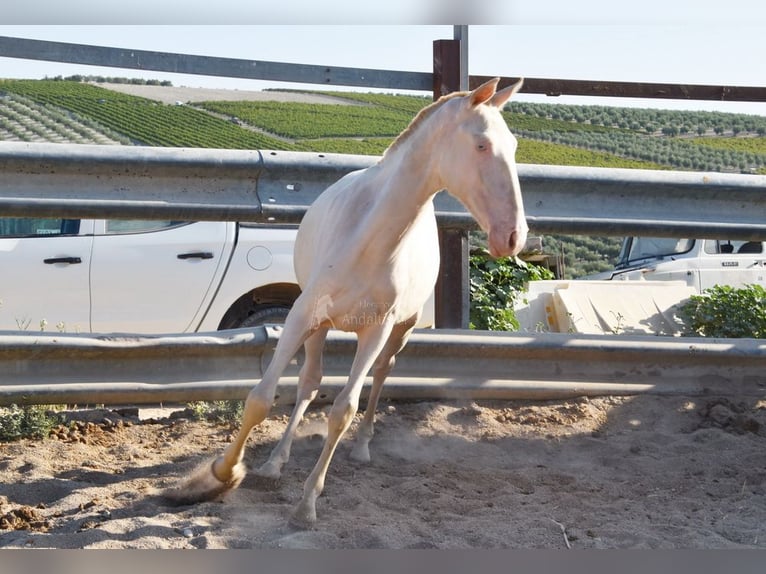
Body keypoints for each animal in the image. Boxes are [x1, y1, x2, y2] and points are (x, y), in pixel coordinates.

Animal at [167, 79, 528, 528]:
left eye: (513, 146)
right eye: (481, 145)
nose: (513, 237)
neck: (369, 238)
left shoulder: (377, 329)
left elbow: (344, 410)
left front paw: (306, 504)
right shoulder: (302, 315)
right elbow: (261, 398)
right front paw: (222, 473)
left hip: (401, 330)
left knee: (381, 375)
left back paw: (362, 446)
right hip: (320, 328)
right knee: (309, 383)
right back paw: (274, 462)